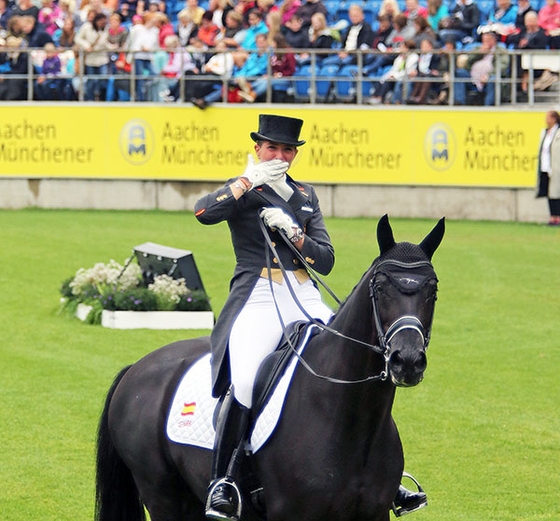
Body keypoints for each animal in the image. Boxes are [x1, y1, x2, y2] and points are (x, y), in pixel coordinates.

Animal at [97, 215, 446, 520]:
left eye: (433, 290)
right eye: (381, 287)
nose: (408, 361)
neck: (348, 416)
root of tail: (137, 368)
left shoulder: (373, 513)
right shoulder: (291, 513)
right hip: (163, 495)